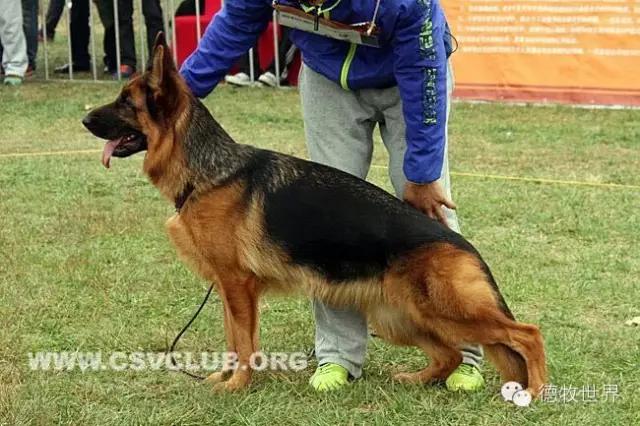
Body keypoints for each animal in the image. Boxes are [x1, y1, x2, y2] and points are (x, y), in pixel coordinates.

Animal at [82, 34, 548, 396]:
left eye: (125, 102)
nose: (84, 119)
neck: (208, 172)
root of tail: (464, 247)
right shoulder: (229, 289)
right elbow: (233, 339)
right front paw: (224, 378)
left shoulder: (237, 286)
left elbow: (244, 342)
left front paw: (238, 386)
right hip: (401, 316)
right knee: (449, 354)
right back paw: (416, 379)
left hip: (446, 312)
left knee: (527, 334)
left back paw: (535, 391)